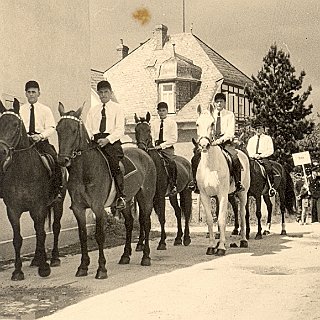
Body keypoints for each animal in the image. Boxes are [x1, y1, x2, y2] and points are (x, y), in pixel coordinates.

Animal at [0, 99, 65, 282]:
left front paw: (44, 268)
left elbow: (42, 234)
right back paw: (36, 259)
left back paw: (54, 258)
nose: (1, 151)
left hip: (58, 203)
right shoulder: (13, 210)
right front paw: (17, 271)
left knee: (55, 227)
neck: (23, 171)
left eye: (15, 125)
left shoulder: (39, 208)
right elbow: (17, 239)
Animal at [57, 102, 158, 278]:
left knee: (145, 222)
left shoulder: (97, 207)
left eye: (74, 130)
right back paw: (125, 256)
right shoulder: (78, 208)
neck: (85, 170)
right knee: (129, 223)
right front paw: (83, 266)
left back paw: (146, 257)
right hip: (127, 201)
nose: (63, 160)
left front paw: (101, 268)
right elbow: (82, 235)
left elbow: (99, 235)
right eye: (57, 129)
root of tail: (144, 154)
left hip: (145, 197)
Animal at [133, 112, 191, 250]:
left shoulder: (159, 196)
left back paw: (186, 238)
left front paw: (162, 242)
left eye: (148, 130)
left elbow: (162, 218)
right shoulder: (142, 198)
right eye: (136, 130)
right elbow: (142, 219)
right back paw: (178, 238)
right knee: (178, 212)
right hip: (172, 195)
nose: (141, 148)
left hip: (186, 192)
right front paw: (140, 244)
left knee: (186, 213)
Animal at [196, 105, 251, 255]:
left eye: (212, 124)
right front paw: (211, 246)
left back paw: (243, 240)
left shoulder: (222, 195)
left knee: (242, 214)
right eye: (197, 124)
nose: (204, 145)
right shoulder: (205, 196)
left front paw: (220, 247)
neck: (210, 166)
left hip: (242, 194)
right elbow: (210, 220)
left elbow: (221, 220)